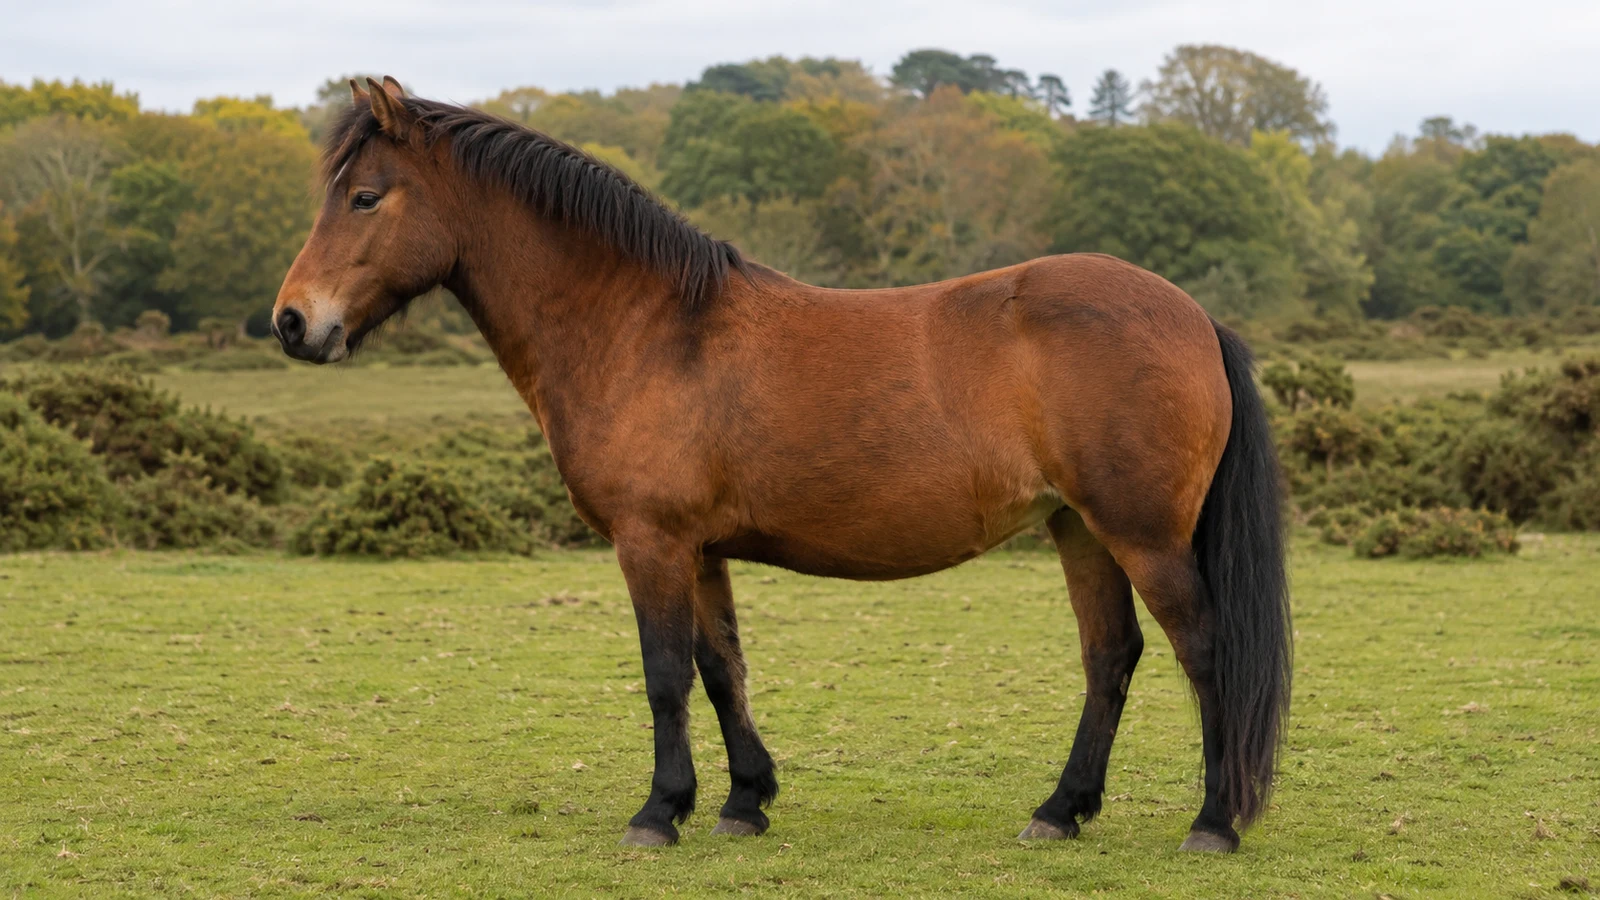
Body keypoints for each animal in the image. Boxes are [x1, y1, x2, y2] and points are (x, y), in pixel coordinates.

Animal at [273, 77, 1291, 853]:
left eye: (366, 196)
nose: (292, 321)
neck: (647, 327)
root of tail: (1194, 315)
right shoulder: (701, 550)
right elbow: (722, 666)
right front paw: (741, 801)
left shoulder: (651, 543)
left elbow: (665, 673)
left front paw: (658, 813)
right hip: (1079, 528)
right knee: (1109, 657)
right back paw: (1059, 811)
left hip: (1141, 534)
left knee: (1204, 650)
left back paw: (1212, 824)